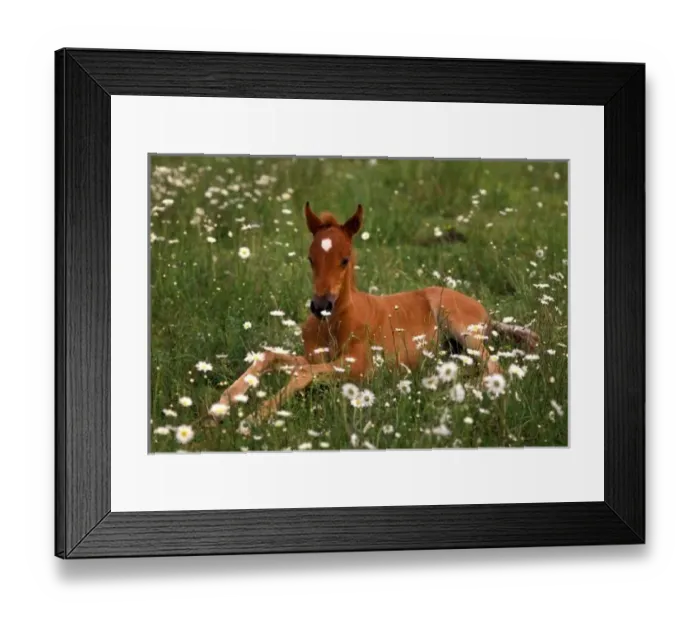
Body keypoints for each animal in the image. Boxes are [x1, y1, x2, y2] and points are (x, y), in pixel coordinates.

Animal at [212, 202, 539, 422]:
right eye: (310, 258)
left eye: (344, 259)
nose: (320, 306)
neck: (334, 324)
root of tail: (486, 313)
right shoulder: (313, 357)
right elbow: (269, 357)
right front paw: (217, 409)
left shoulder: (361, 368)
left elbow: (301, 371)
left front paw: (252, 419)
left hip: (459, 324)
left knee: (494, 367)